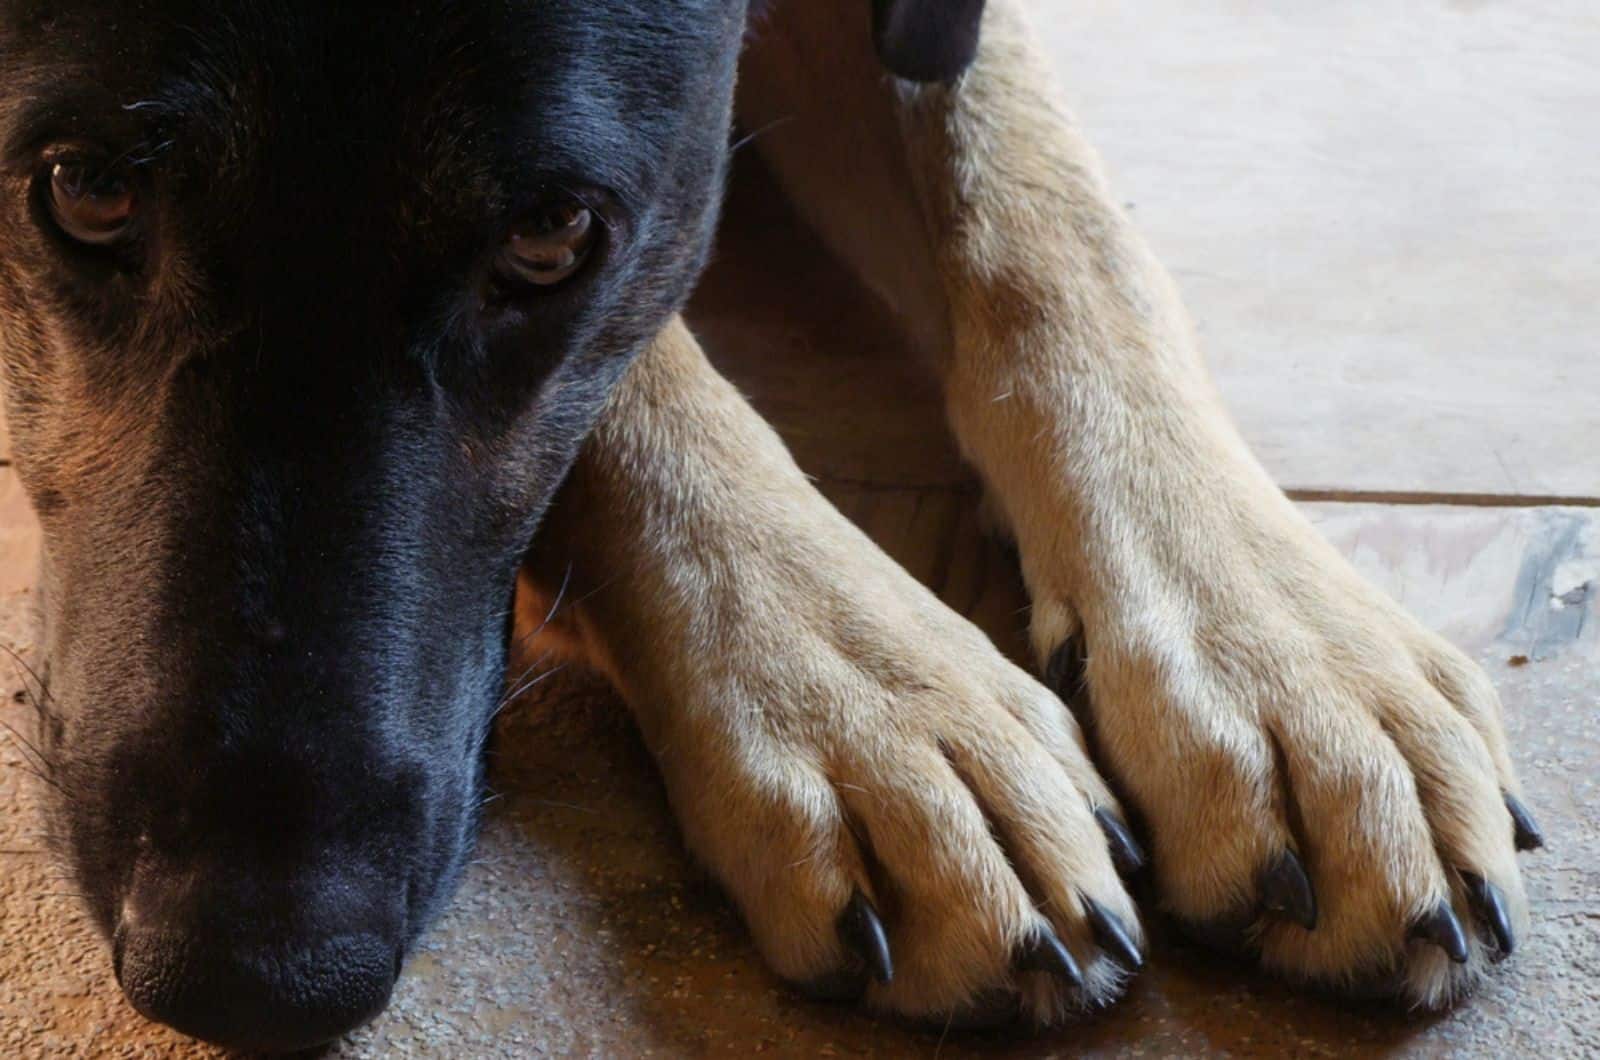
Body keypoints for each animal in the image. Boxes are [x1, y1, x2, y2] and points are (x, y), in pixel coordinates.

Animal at [0, 0, 1536, 1056]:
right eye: (85, 192)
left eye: (551, 239)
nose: (256, 972)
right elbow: (656, 365)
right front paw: (868, 701)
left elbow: (1053, 208)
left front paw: (1279, 648)